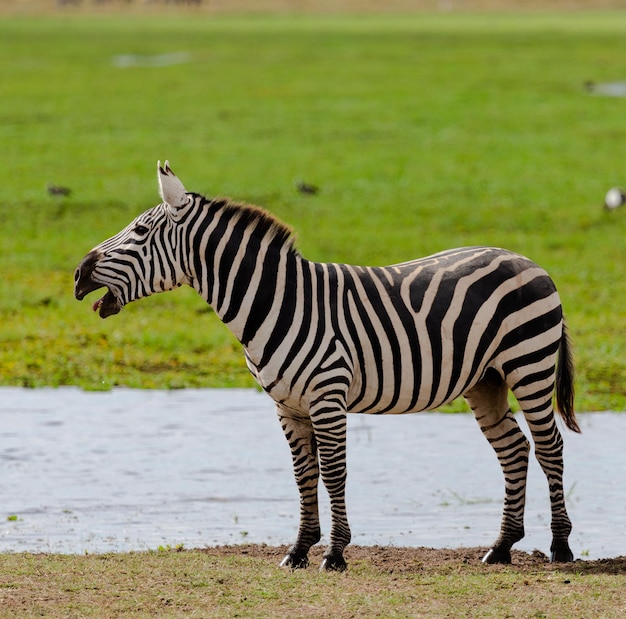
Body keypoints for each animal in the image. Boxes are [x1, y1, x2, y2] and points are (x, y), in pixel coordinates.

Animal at [74, 161, 580, 572]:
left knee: (549, 446)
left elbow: (334, 473)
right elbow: (304, 477)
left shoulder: (327, 397)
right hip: (485, 380)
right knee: (513, 449)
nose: (78, 274)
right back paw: (501, 547)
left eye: (140, 233)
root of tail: (526, 260)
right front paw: (298, 551)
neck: (277, 303)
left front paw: (334, 554)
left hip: (529, 365)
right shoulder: (286, 406)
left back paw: (560, 547)